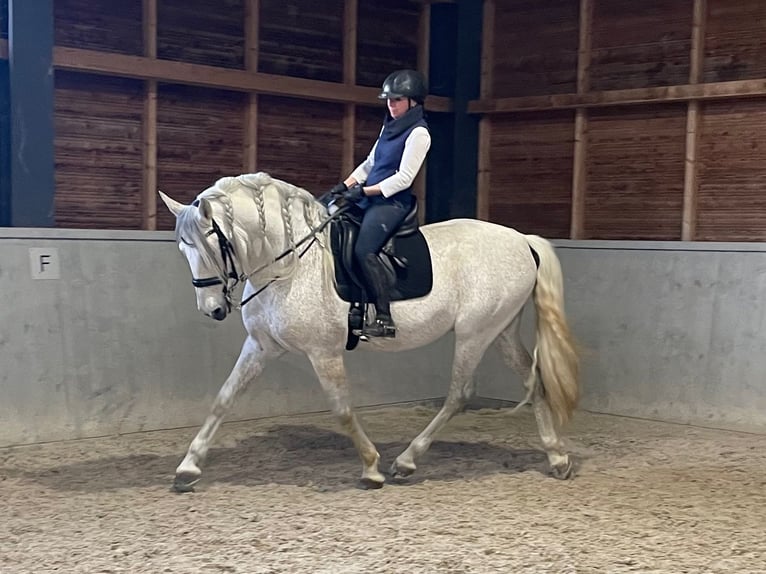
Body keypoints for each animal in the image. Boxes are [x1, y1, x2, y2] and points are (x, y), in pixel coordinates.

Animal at [160, 172, 584, 496]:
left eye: (214, 246)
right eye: (183, 250)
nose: (213, 309)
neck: (291, 267)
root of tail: (521, 239)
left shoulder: (324, 352)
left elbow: (342, 410)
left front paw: (371, 467)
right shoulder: (262, 346)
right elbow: (224, 399)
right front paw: (188, 468)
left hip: (475, 333)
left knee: (460, 394)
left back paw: (407, 462)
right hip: (501, 330)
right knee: (533, 380)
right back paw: (557, 457)